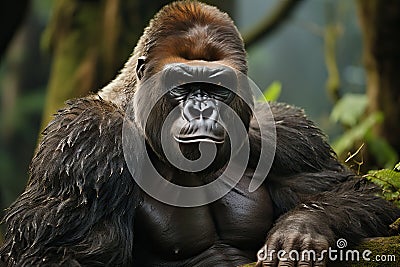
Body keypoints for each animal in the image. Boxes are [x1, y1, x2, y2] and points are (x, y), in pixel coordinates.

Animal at [0, 1, 400, 266]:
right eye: (182, 84)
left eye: (216, 86)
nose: (202, 108)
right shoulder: (86, 139)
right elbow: (52, 253)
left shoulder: (285, 133)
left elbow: (347, 188)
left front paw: (302, 227)